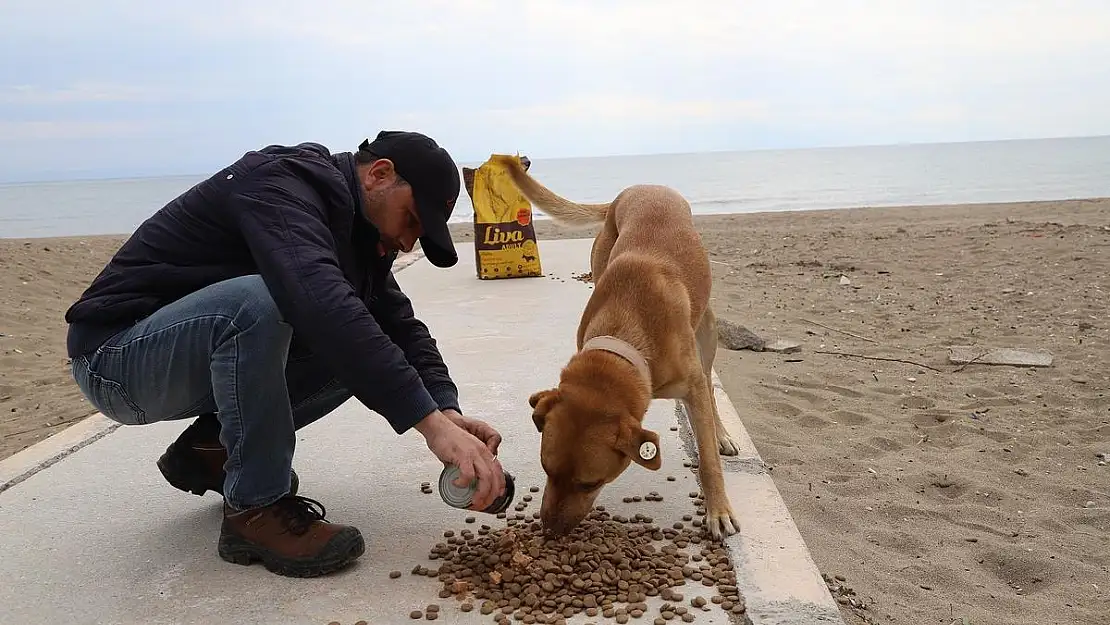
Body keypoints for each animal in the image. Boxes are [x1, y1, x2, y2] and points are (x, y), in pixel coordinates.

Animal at [490, 154, 741, 539]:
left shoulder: (693, 384)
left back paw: (722, 434)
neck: (627, 326)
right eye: (546, 469)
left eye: (589, 483)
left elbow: (710, 459)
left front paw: (719, 509)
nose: (550, 530)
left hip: (708, 330)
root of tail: (637, 188)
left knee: (712, 393)